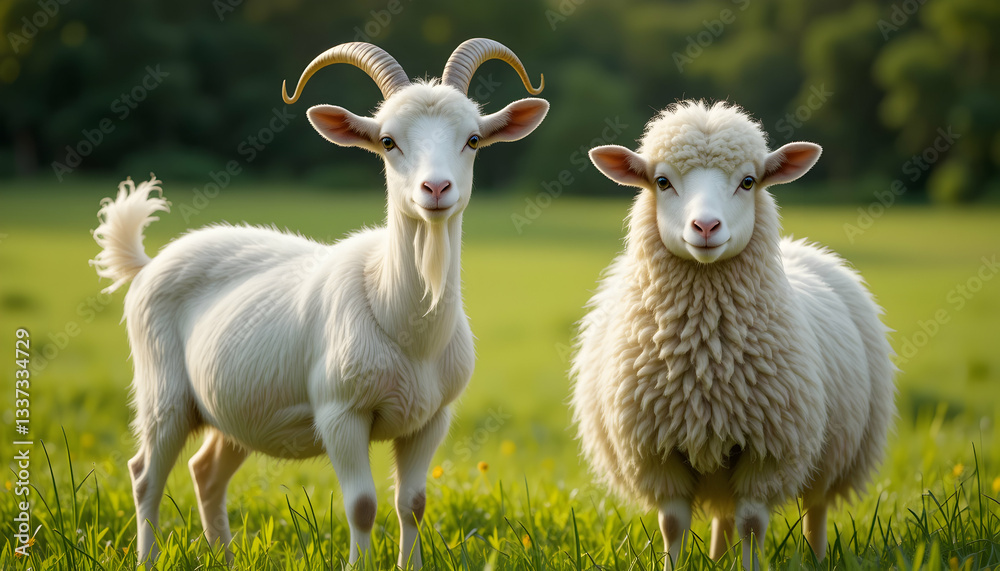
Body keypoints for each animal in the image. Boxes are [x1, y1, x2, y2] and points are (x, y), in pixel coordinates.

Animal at [91, 39, 548, 568]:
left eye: (473, 139)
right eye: (388, 142)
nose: (435, 189)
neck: (403, 323)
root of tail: (146, 265)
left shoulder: (431, 419)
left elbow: (412, 504)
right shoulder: (340, 412)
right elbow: (363, 505)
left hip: (236, 408)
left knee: (206, 471)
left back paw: (224, 556)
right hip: (162, 391)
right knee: (145, 473)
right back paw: (148, 557)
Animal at [570, 100, 895, 570]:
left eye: (748, 181)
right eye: (662, 181)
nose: (706, 227)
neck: (707, 359)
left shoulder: (769, 452)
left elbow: (752, 524)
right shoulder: (656, 454)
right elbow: (673, 524)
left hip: (836, 454)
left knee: (815, 510)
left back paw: (816, 558)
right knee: (723, 516)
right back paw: (717, 556)